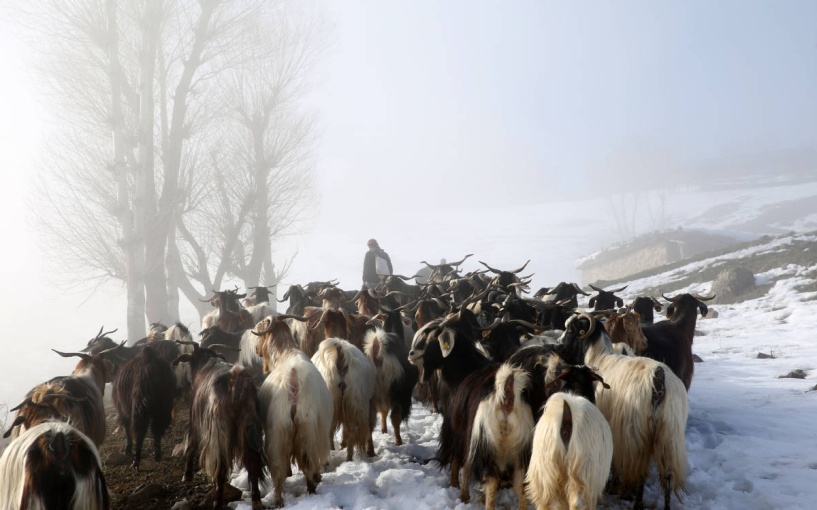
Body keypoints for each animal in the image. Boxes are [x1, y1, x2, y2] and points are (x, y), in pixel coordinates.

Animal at [173, 342, 268, 510]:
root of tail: (235, 383)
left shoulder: (196, 420)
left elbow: (191, 443)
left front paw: (187, 474)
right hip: (249, 426)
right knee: (252, 461)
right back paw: (256, 500)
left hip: (219, 433)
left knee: (221, 467)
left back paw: (217, 501)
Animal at [253, 314, 334, 506]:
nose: (256, 349)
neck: (286, 353)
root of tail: (293, 381)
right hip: (306, 429)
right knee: (307, 461)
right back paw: (312, 487)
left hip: (277, 432)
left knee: (278, 468)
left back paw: (279, 500)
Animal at [556, 312, 684, 508]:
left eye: (571, 329)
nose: (557, 345)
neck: (598, 358)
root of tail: (658, 379)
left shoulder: (614, 427)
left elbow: (615, 460)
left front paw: (613, 485)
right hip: (669, 434)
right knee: (667, 475)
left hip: (637, 434)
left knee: (640, 470)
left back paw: (636, 501)